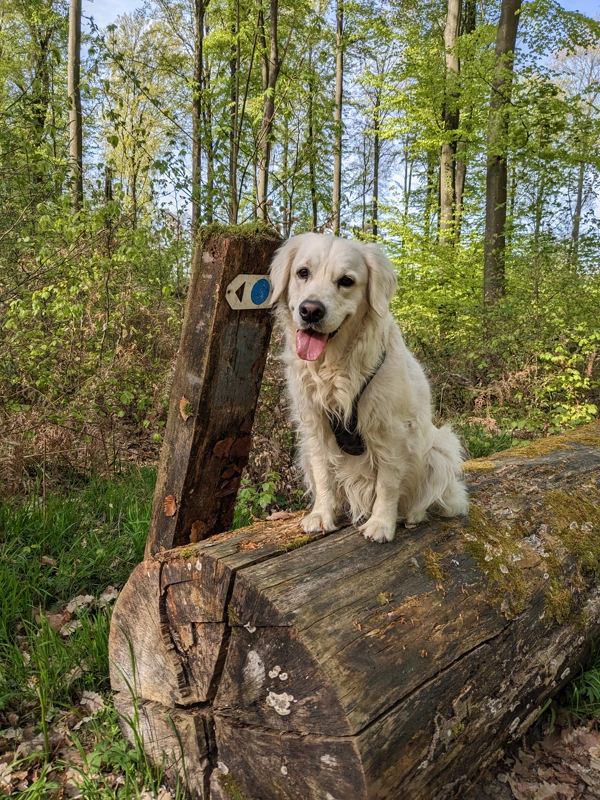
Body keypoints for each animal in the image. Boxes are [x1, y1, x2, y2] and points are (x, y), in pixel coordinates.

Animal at [268, 233, 468, 544]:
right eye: (303, 273)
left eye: (346, 281)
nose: (310, 310)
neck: (335, 366)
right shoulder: (314, 425)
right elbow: (324, 475)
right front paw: (322, 515)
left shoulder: (391, 429)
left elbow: (387, 483)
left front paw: (381, 524)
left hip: (441, 446)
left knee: (432, 500)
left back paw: (412, 516)